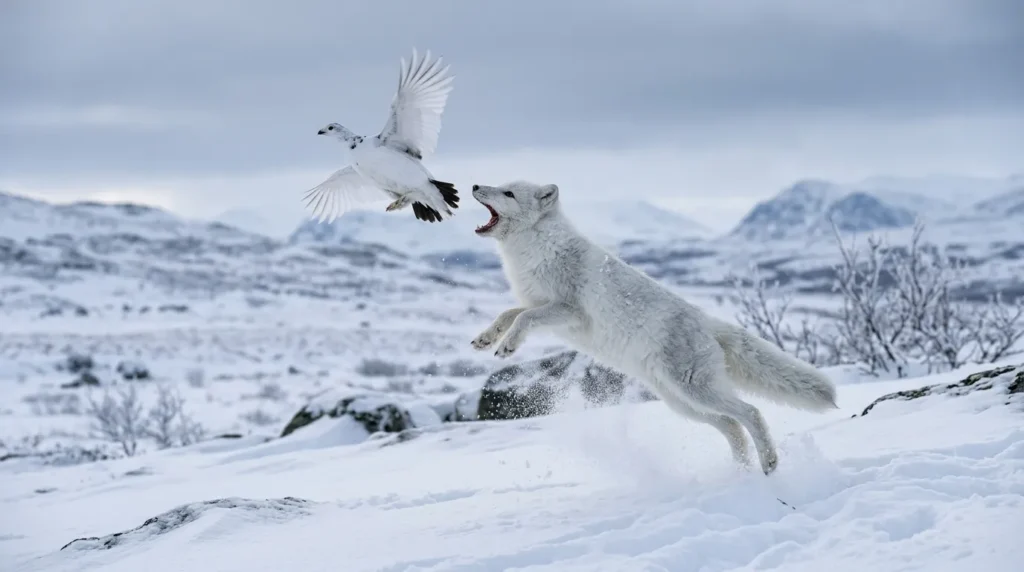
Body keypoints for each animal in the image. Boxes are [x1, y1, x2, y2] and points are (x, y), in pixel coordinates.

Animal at [468, 180, 838, 474]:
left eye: (508, 193)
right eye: (501, 186)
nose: (474, 186)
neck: (536, 249)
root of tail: (706, 320)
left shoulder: (568, 310)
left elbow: (523, 319)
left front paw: (508, 346)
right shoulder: (536, 302)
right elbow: (508, 314)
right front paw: (486, 339)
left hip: (695, 391)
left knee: (751, 412)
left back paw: (769, 463)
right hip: (683, 403)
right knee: (733, 427)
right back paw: (740, 473)